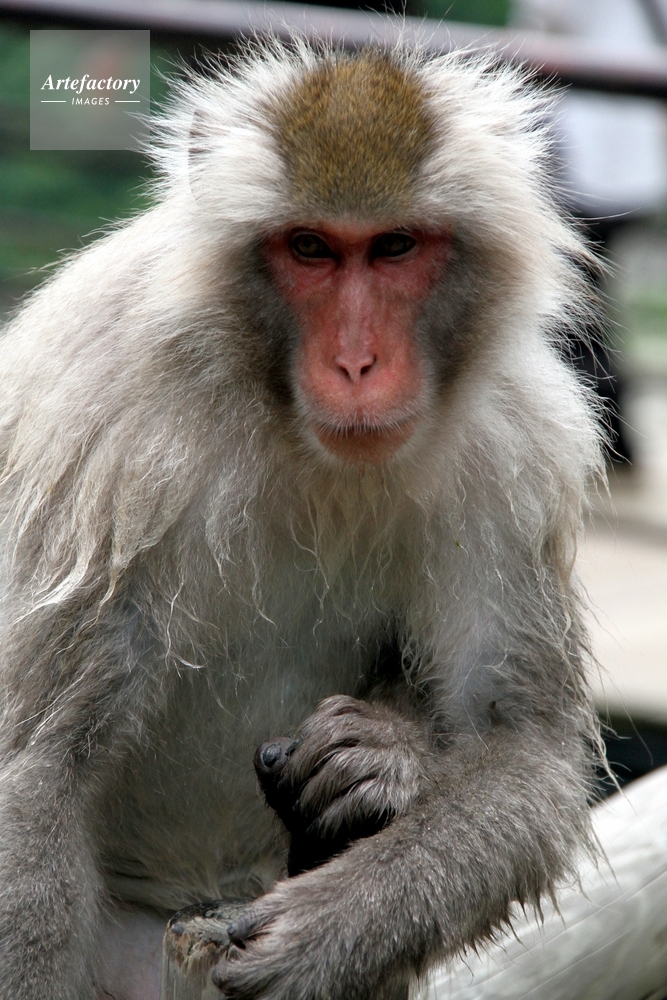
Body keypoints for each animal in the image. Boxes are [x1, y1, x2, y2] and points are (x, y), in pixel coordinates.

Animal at [0, 39, 604, 1000]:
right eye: (311, 249)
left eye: (393, 247)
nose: (356, 363)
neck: (284, 418)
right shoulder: (102, 438)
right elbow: (35, 771)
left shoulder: (520, 447)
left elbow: (524, 753)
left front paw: (327, 924)